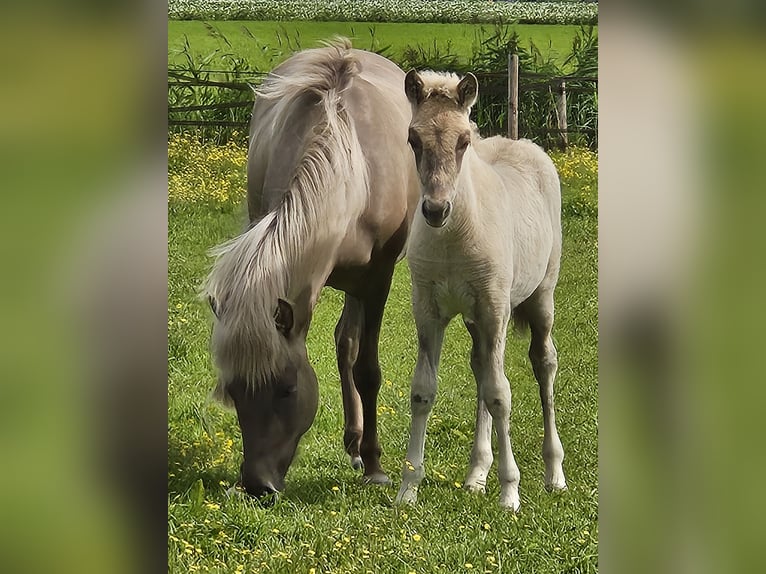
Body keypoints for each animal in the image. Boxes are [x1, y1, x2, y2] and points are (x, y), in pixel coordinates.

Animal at [204, 40, 420, 500]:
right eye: (233, 391)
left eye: (287, 389)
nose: (257, 485)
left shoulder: (377, 278)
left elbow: (368, 370)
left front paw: (376, 467)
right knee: (344, 342)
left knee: (350, 345)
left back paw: (360, 450)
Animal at [396, 71, 568, 512]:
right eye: (413, 138)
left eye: (463, 141)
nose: (435, 210)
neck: (455, 235)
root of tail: (525, 144)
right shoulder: (428, 310)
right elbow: (423, 390)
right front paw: (409, 487)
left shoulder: (494, 308)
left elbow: (500, 395)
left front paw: (510, 492)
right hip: (477, 319)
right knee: (481, 368)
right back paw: (476, 473)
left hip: (539, 299)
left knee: (543, 363)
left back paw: (554, 474)